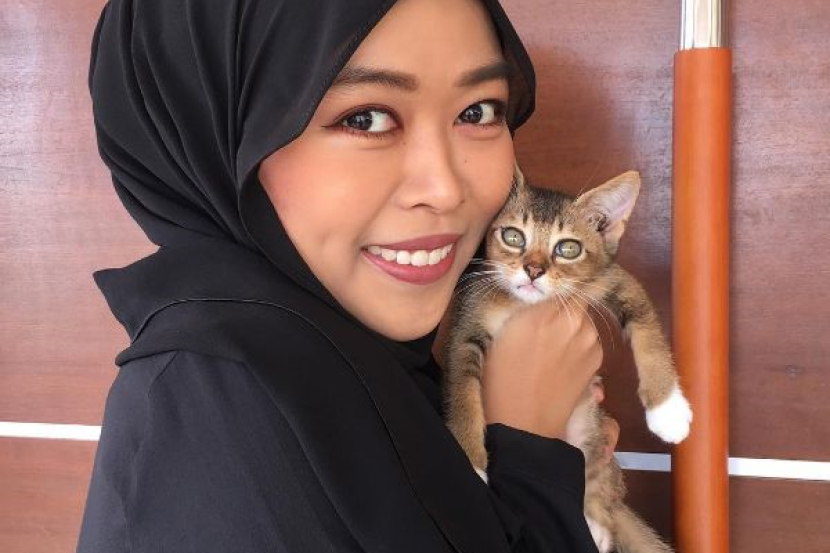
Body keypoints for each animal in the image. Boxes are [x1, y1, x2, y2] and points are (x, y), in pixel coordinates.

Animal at [441, 162, 691, 553]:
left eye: (568, 248)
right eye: (513, 236)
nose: (533, 270)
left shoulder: (614, 280)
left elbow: (649, 331)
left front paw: (668, 410)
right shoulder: (467, 322)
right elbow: (463, 393)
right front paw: (473, 467)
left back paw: (597, 523)